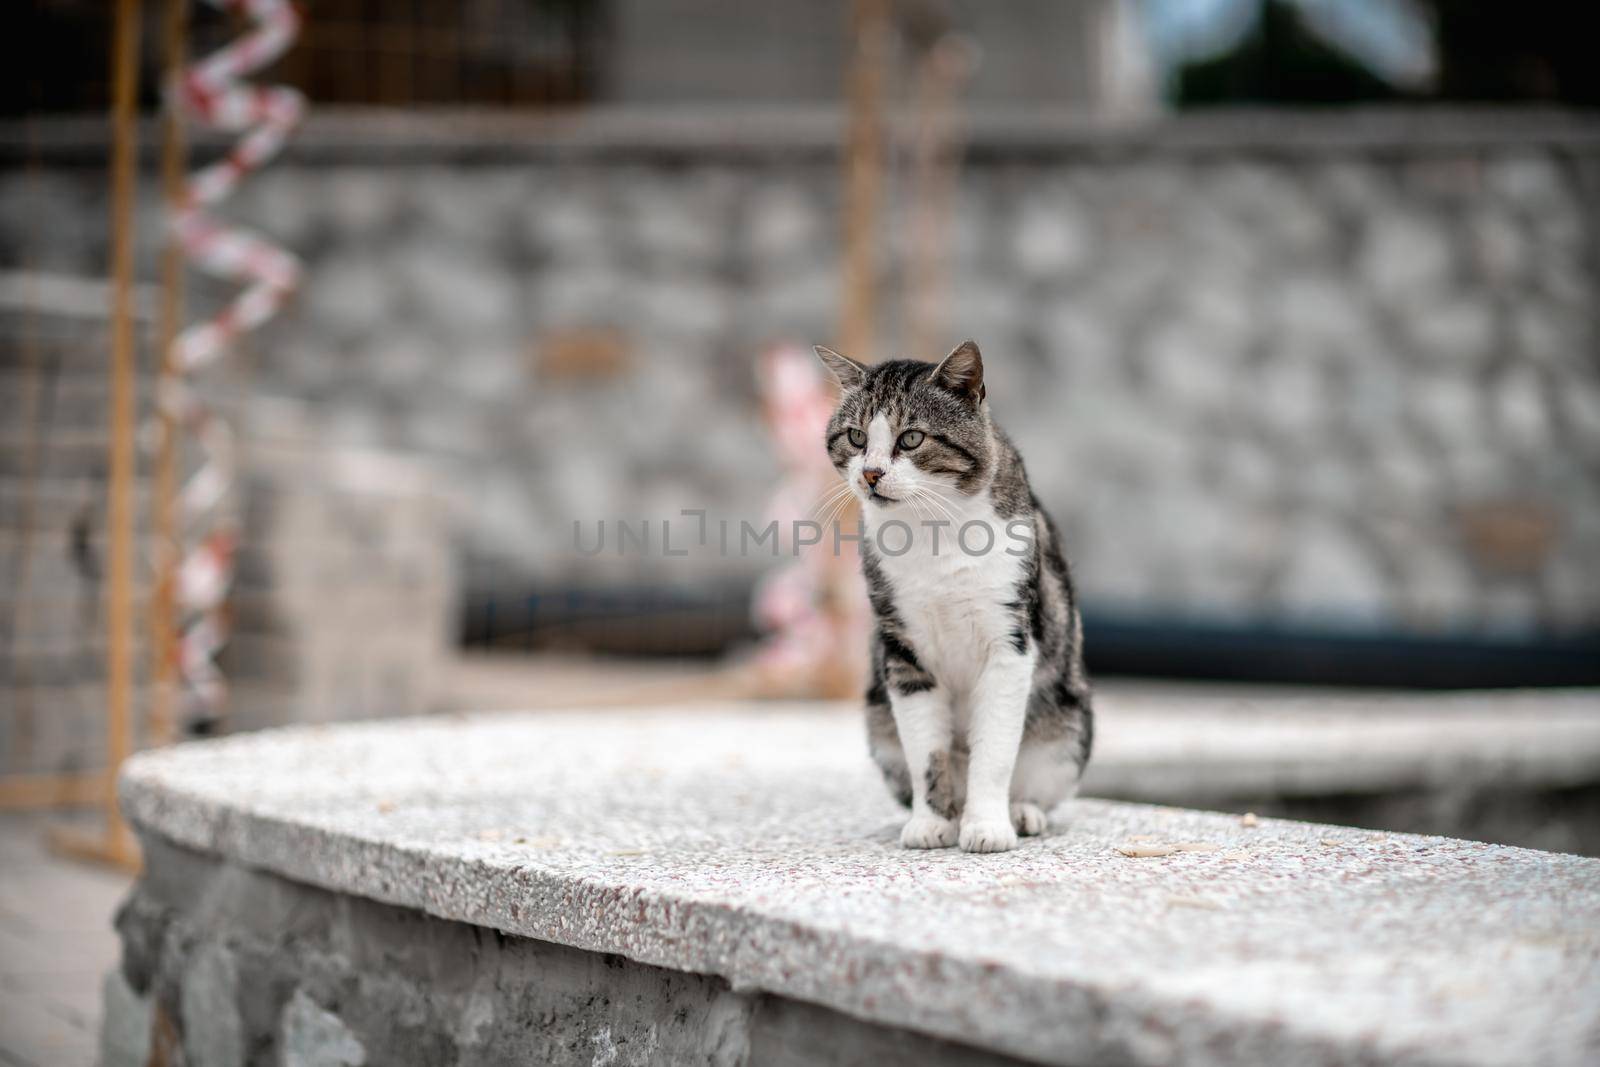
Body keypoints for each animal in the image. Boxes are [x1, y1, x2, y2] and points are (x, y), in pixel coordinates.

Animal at [819, 337, 1094, 857]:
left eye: (911, 438)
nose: (870, 474)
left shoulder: (1010, 642)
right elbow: (927, 751)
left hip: (1069, 725)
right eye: (857, 437)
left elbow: (994, 752)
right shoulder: (902, 651)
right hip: (877, 721)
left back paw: (1020, 812)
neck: (933, 529)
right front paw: (931, 822)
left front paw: (986, 826)